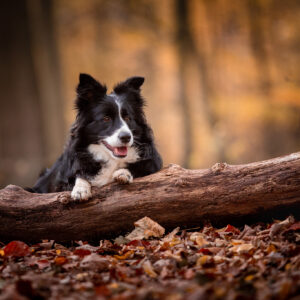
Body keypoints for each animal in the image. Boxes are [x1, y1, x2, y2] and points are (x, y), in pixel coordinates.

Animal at [31, 74, 163, 202]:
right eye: (106, 118)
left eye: (127, 118)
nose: (126, 137)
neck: (111, 159)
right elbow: (78, 175)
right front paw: (80, 190)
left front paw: (124, 173)